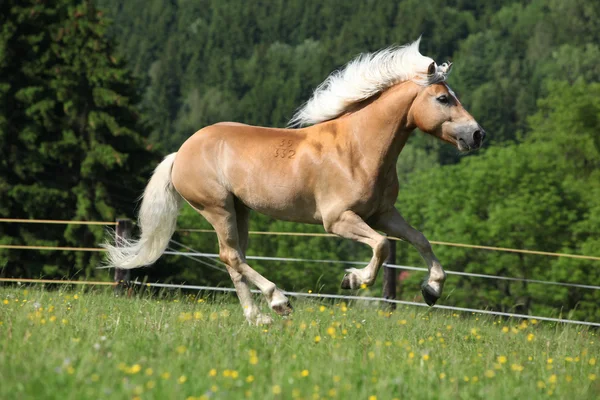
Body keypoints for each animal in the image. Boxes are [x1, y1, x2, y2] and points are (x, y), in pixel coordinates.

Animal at [104, 38, 488, 324]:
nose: (477, 135)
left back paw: (258, 317)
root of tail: (181, 153)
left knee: (234, 258)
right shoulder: (338, 220)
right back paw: (278, 302)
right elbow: (380, 246)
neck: (357, 148)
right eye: (443, 98)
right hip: (217, 208)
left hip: (240, 210)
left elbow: (420, 240)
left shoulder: (383, 214)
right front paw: (352, 279)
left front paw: (432, 290)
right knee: (231, 256)